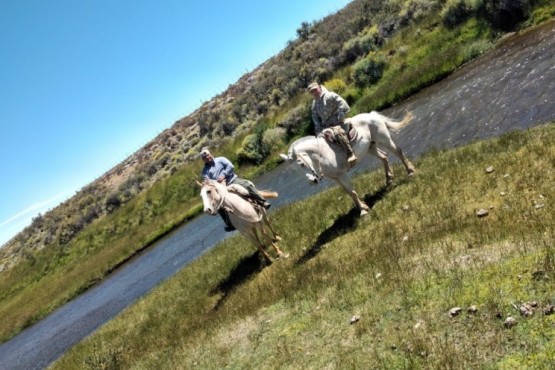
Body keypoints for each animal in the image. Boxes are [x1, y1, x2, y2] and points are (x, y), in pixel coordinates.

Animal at [280, 112, 414, 217]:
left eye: (301, 163)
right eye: (295, 171)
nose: (313, 181)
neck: (323, 153)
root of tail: (372, 115)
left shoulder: (342, 175)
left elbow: (353, 192)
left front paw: (363, 211)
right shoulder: (336, 179)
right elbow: (349, 193)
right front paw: (363, 207)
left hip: (384, 140)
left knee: (398, 151)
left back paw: (410, 172)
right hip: (371, 147)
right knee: (384, 157)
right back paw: (389, 181)